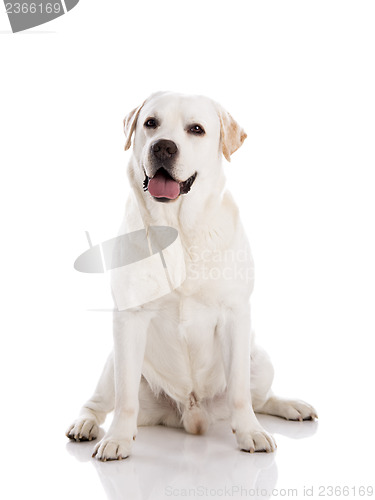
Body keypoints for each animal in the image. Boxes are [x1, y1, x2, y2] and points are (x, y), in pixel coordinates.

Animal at [67, 91, 318, 460]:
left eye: (196, 129)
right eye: (151, 123)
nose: (163, 147)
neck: (178, 229)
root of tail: (192, 413)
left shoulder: (235, 315)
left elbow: (241, 393)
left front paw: (250, 432)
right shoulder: (129, 320)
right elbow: (125, 399)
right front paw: (117, 439)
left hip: (260, 359)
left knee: (259, 398)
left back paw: (291, 406)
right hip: (114, 361)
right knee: (100, 401)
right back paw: (85, 424)